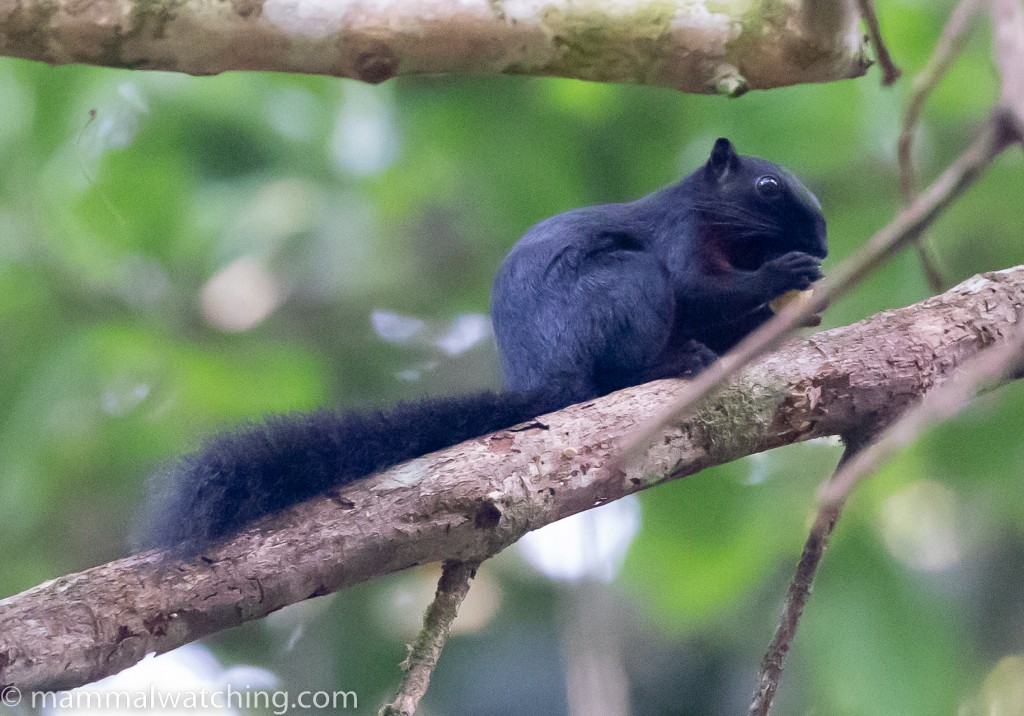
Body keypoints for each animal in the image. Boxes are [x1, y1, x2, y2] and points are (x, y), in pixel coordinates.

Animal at [133, 138, 827, 553]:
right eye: (767, 187)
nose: (821, 242)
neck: (728, 235)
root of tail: (546, 378)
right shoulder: (681, 234)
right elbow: (694, 286)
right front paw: (784, 277)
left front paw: (792, 310)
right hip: (625, 286)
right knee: (619, 363)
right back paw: (672, 362)